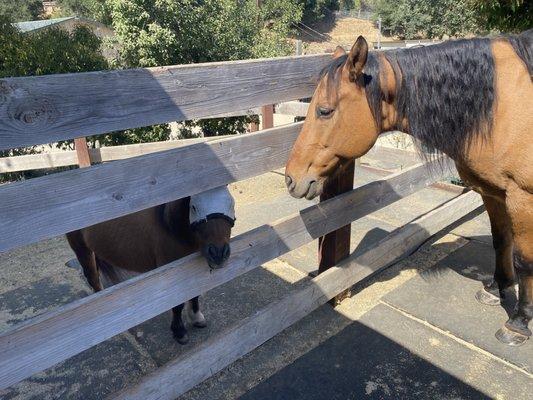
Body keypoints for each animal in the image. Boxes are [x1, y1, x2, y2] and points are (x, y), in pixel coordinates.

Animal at [65, 188, 234, 344]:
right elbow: (177, 304)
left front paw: (196, 318)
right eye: (194, 207)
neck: (170, 228)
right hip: (81, 248)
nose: (219, 253)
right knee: (93, 277)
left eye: (231, 203)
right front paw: (179, 332)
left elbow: (194, 293)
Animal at [284, 30, 532, 344]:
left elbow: (524, 260)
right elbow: (502, 241)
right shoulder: (494, 192)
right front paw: (496, 289)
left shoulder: (522, 198)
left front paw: (519, 322)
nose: (291, 178)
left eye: (324, 111)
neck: (503, 105)